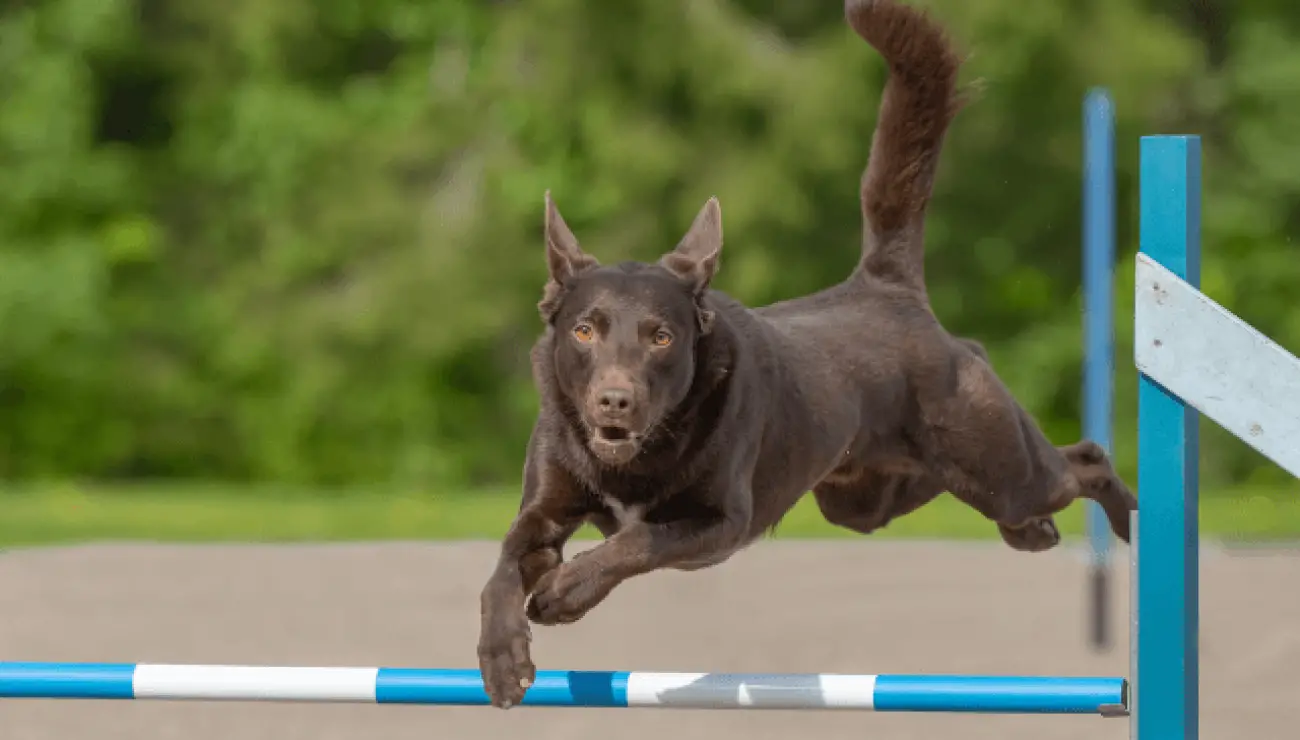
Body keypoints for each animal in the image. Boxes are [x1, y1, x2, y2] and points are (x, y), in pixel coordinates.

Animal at [478, 0, 1138, 707]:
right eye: (585, 331)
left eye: (661, 337)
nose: (614, 401)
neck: (636, 460)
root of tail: (885, 286)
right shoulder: (546, 510)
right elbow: (503, 567)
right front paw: (502, 657)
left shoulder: (720, 523)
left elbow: (634, 541)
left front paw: (566, 591)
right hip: (867, 498)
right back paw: (1034, 533)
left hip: (996, 464)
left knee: (1083, 461)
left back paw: (1131, 522)